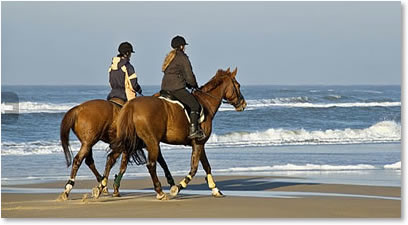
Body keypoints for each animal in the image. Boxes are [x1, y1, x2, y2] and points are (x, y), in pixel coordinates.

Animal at [96, 67, 245, 200]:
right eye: (238, 85)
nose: (243, 104)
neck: (206, 103)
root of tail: (131, 105)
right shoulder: (198, 143)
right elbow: (194, 168)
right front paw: (177, 188)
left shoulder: (199, 144)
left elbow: (207, 166)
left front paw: (215, 189)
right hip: (151, 142)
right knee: (150, 165)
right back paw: (160, 192)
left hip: (130, 141)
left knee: (112, 159)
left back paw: (100, 187)